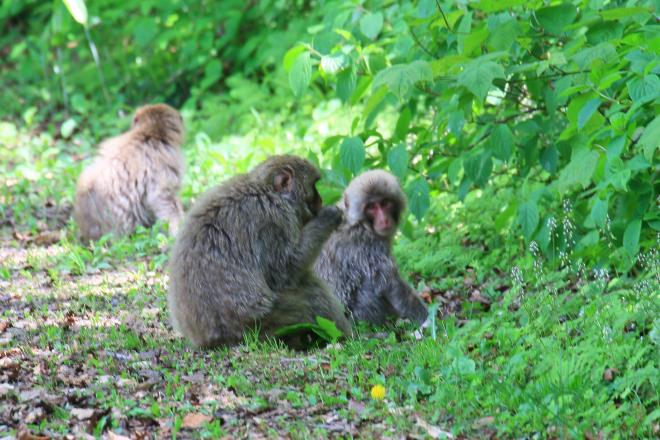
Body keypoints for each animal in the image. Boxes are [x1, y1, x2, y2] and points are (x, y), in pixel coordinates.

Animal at [168, 155, 354, 348]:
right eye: (314, 186)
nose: (320, 201)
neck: (268, 191)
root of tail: (209, 341)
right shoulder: (273, 221)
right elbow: (282, 275)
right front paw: (328, 217)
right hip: (261, 326)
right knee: (311, 293)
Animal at [314, 170, 428, 324]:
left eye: (385, 203)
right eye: (371, 207)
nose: (384, 220)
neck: (359, 224)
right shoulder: (368, 246)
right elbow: (390, 283)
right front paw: (428, 319)